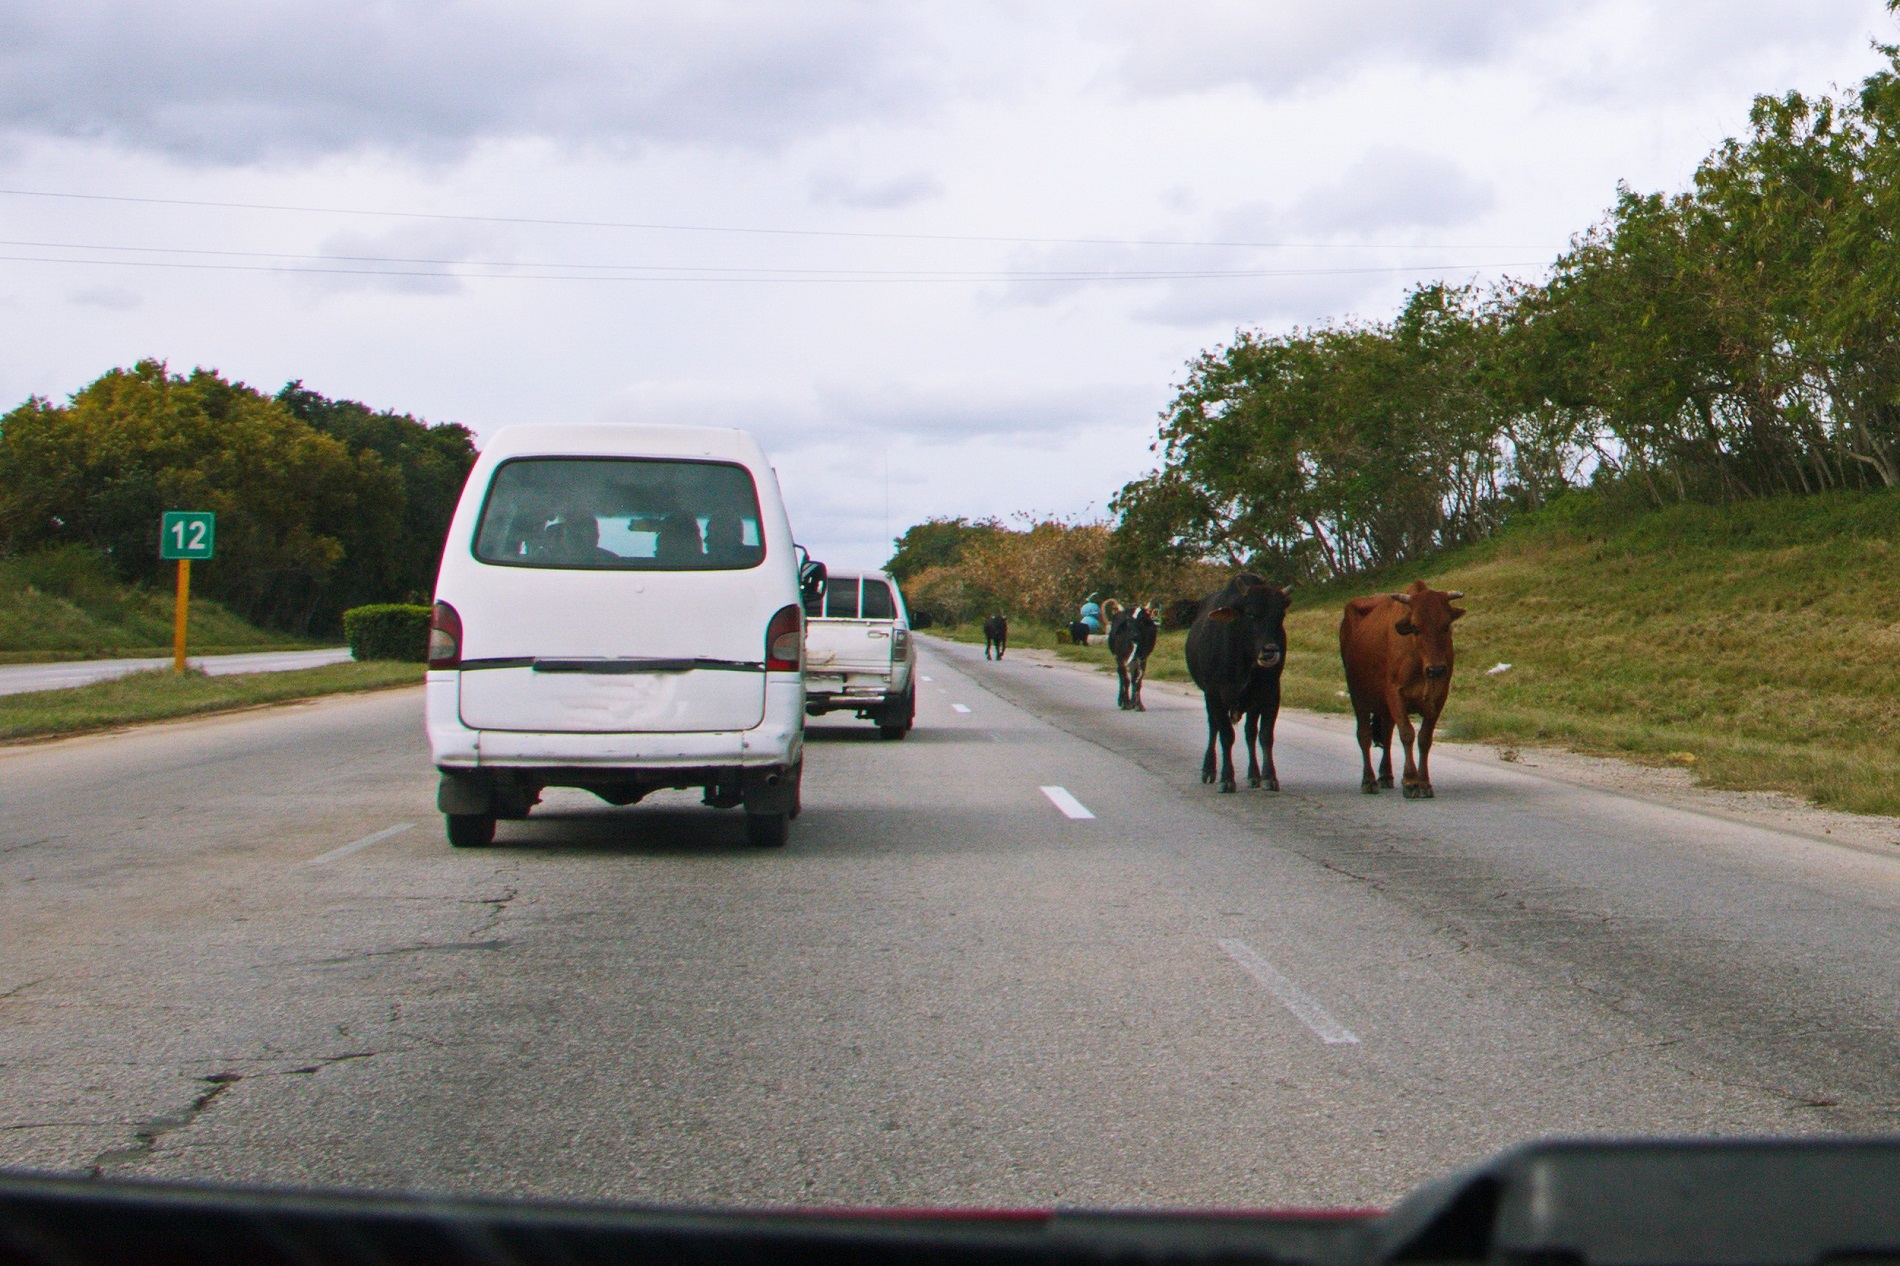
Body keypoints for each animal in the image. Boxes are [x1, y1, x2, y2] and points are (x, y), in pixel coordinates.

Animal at [1185, 574, 1292, 790]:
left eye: (1280, 615)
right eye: (1250, 614)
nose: (1270, 651)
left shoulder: (1270, 694)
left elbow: (1265, 735)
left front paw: (1269, 777)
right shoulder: (1214, 694)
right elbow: (1226, 735)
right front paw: (1227, 779)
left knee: (1250, 732)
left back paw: (1254, 775)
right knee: (1214, 728)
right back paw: (1209, 770)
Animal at [1337, 577, 1466, 794]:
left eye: (1446, 624)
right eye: (1415, 627)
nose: (1436, 670)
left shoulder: (1439, 697)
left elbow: (1424, 738)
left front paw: (1424, 782)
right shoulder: (1394, 693)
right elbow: (1406, 733)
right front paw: (1411, 781)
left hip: (1384, 708)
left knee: (1387, 735)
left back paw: (1386, 775)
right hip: (1359, 698)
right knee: (1364, 735)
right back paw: (1369, 780)